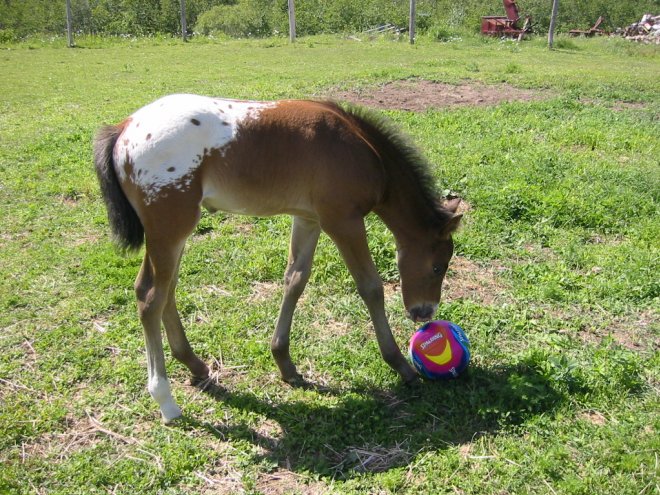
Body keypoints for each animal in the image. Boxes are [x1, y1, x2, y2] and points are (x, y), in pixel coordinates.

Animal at [94, 95, 464, 424]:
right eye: (437, 266)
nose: (424, 313)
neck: (362, 149)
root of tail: (124, 128)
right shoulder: (343, 220)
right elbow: (370, 287)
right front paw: (401, 365)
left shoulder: (309, 218)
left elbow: (295, 279)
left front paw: (285, 363)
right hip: (170, 229)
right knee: (151, 298)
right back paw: (166, 402)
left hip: (171, 234)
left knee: (162, 290)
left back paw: (195, 365)